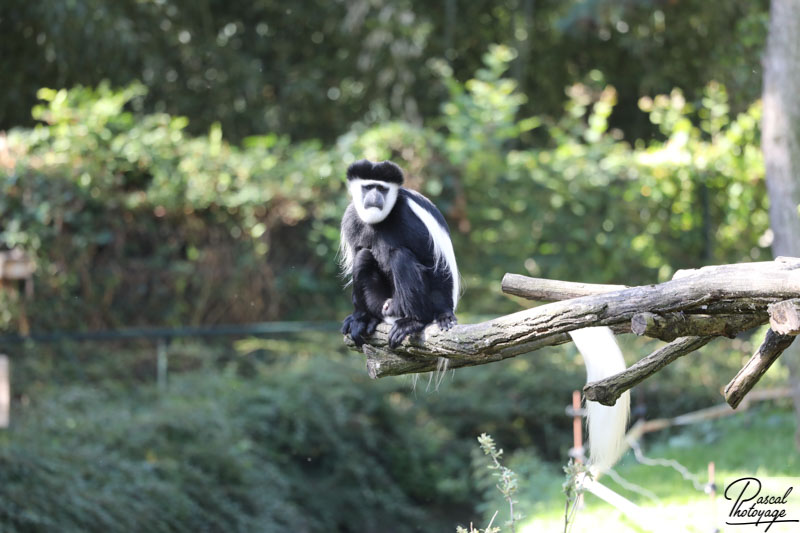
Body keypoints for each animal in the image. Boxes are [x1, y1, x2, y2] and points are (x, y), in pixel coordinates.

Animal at [340, 158, 462, 350]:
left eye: (382, 188)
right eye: (368, 187)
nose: (375, 197)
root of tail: (390, 306)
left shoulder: (410, 216)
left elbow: (433, 261)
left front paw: (445, 316)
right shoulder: (351, 219)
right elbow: (356, 254)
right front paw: (358, 317)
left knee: (401, 256)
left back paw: (413, 322)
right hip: (379, 302)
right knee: (362, 256)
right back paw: (366, 319)